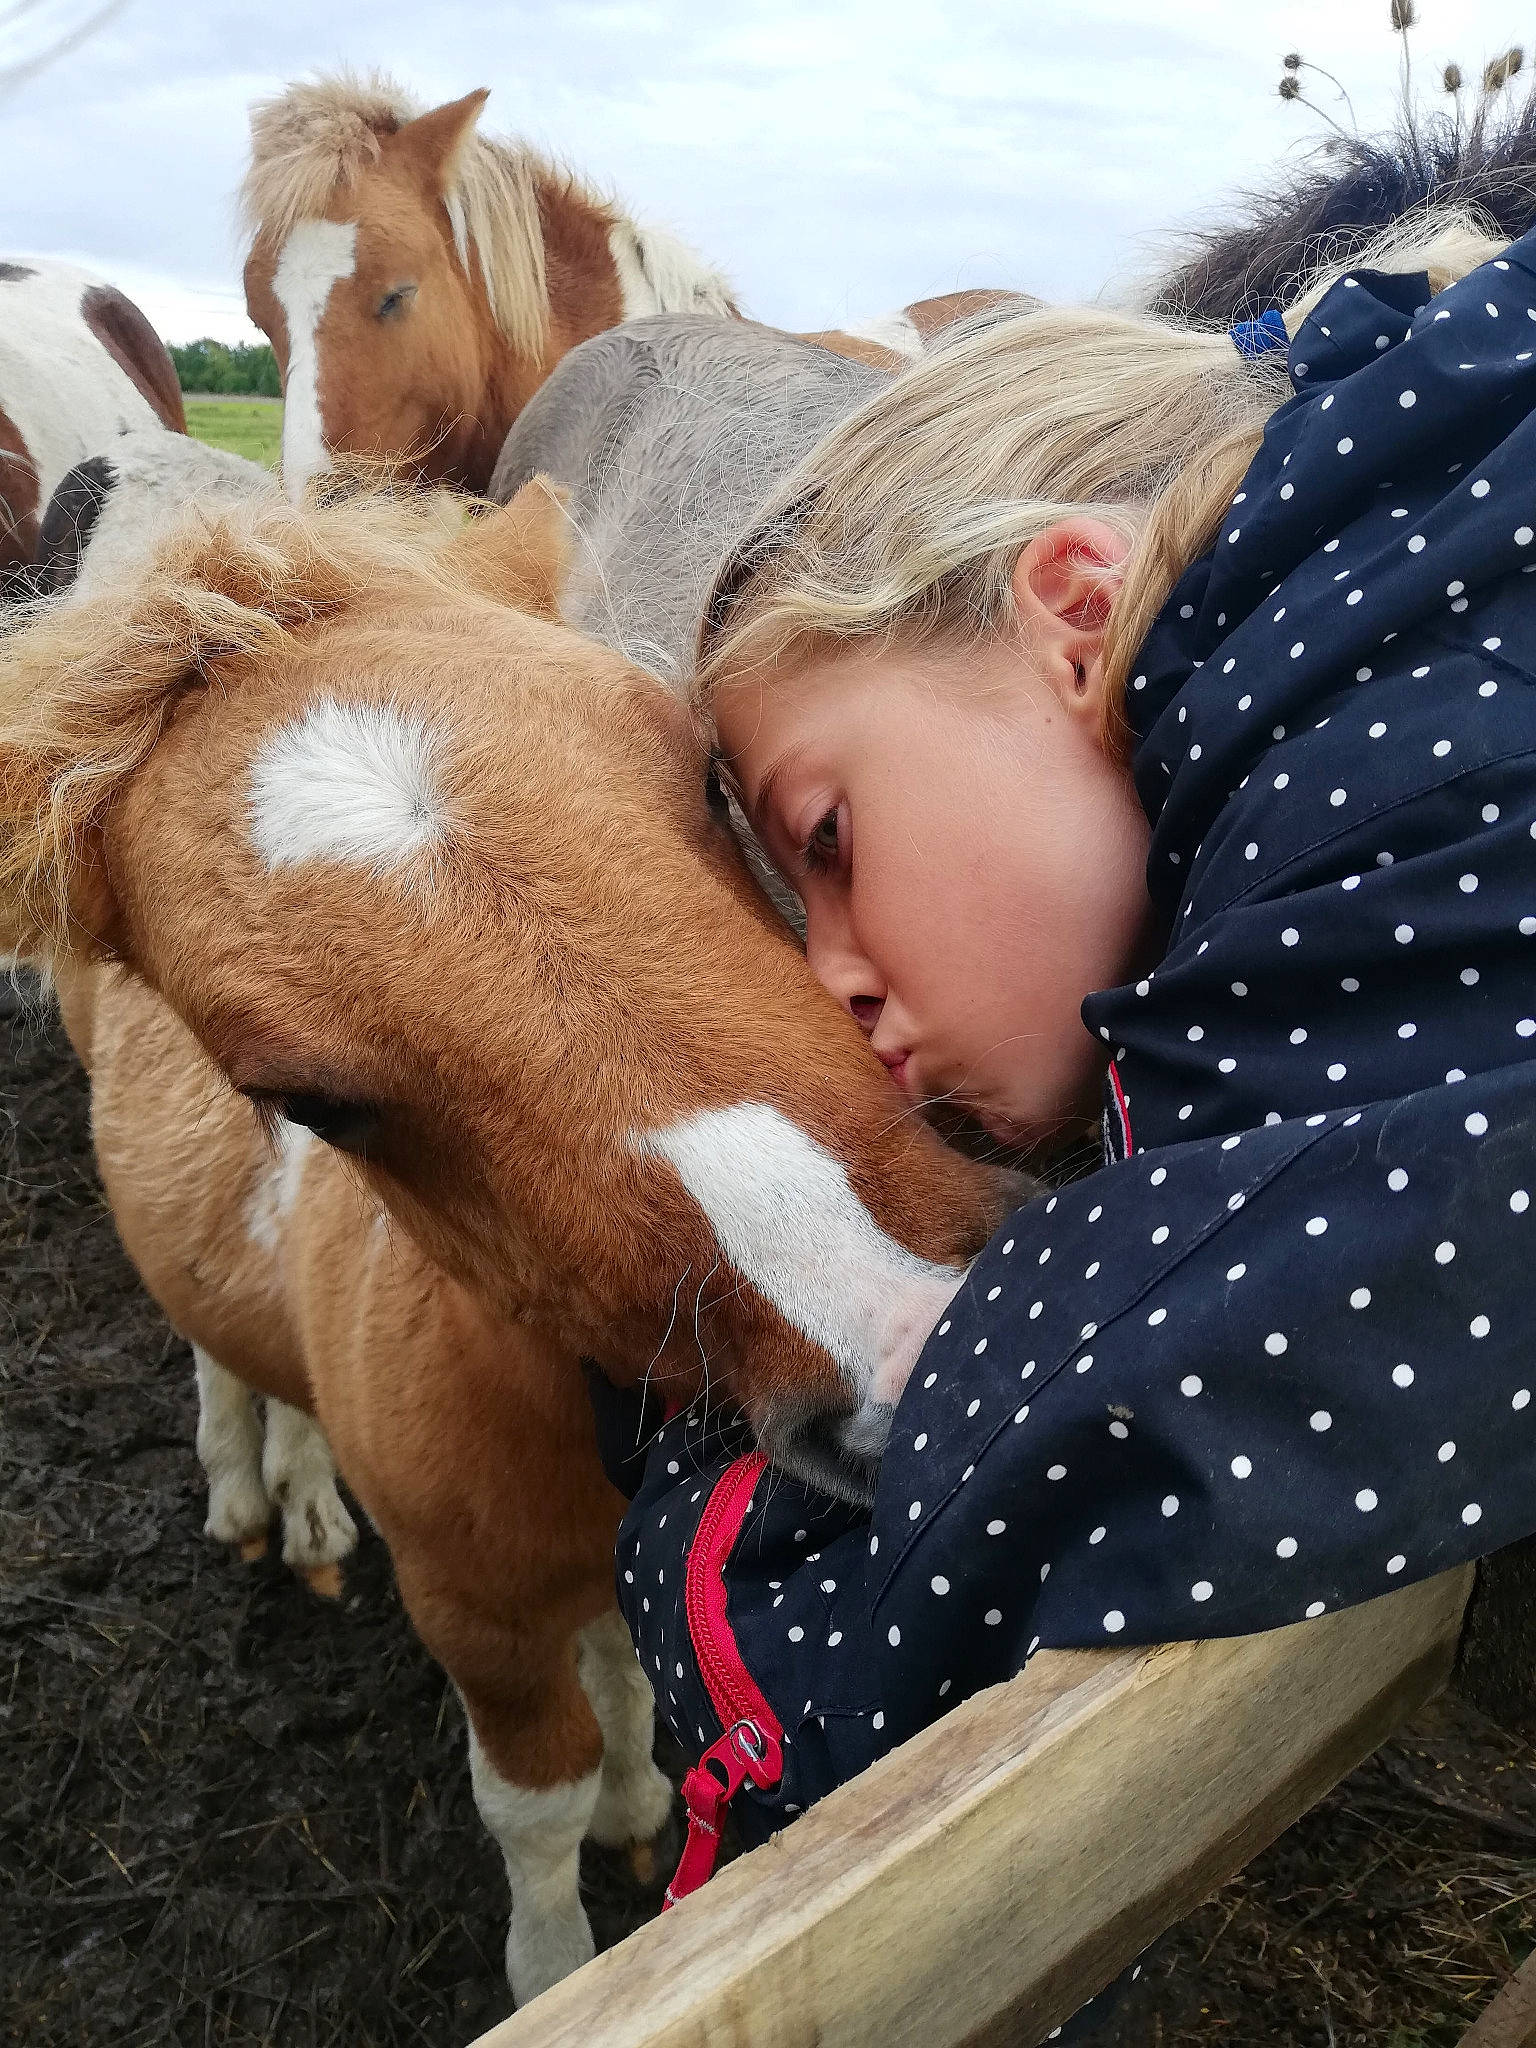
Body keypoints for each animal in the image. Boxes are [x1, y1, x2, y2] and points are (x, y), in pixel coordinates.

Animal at [0, 479, 1010, 1998]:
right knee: (212, 1350)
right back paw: (249, 1487)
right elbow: (534, 1802)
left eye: (700, 772)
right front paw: (559, 1956)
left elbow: (632, 1679)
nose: (907, 1333)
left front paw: (643, 1805)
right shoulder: (474, 1613)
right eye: (307, 1099)